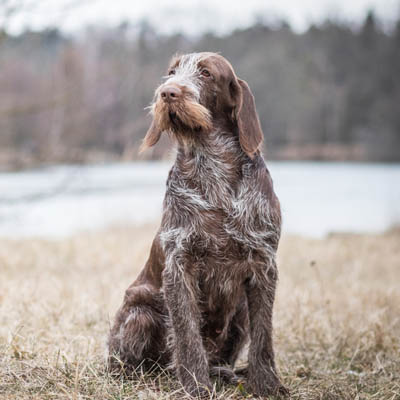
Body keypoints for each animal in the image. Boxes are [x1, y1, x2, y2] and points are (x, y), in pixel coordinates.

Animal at [106, 52, 288, 396]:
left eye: (205, 73)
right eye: (172, 72)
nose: (168, 93)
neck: (213, 164)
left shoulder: (263, 264)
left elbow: (263, 337)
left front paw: (267, 385)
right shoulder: (180, 266)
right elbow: (188, 335)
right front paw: (195, 387)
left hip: (240, 311)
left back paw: (223, 373)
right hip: (140, 313)